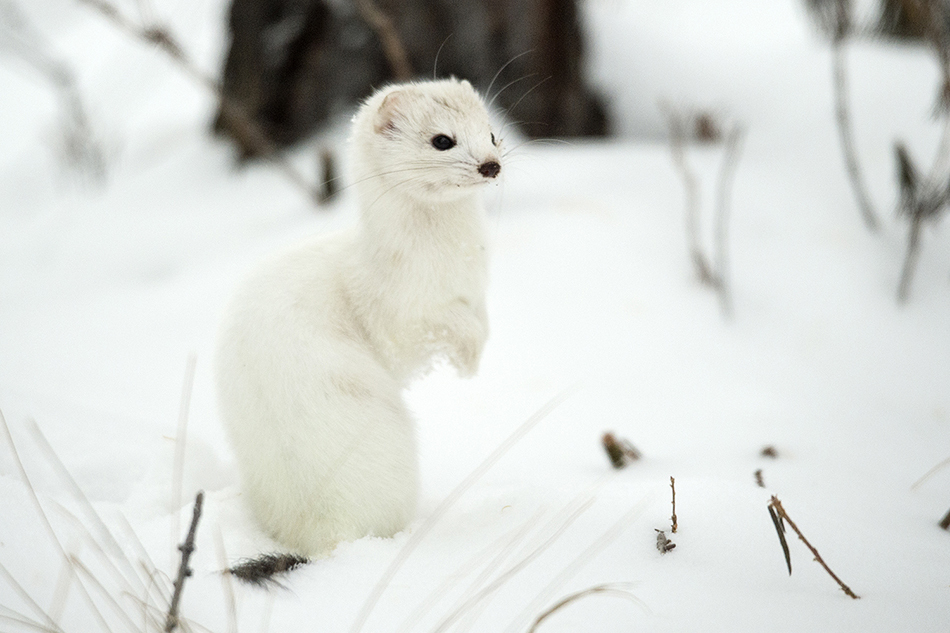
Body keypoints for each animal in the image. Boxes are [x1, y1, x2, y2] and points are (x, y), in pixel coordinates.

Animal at [214, 78, 498, 552]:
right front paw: (469, 360)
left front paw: (475, 355)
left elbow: (482, 320)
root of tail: (325, 530)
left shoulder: (474, 294)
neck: (453, 263)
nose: (491, 166)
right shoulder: (399, 313)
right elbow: (442, 328)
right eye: (443, 140)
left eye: (493, 133)